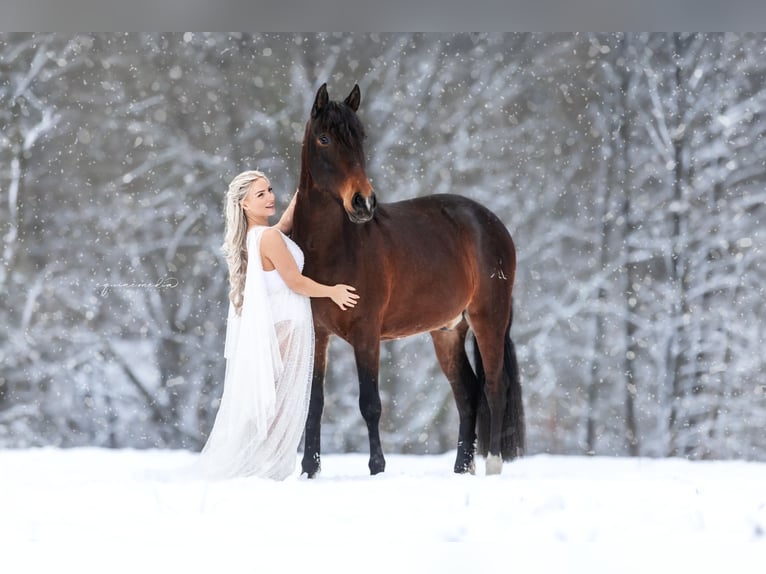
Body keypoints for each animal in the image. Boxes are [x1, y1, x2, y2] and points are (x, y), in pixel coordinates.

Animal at [292, 82, 524, 476]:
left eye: (361, 136)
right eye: (324, 139)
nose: (363, 203)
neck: (331, 247)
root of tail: (491, 222)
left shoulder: (367, 333)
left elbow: (370, 403)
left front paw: (377, 467)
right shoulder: (318, 333)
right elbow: (315, 403)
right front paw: (310, 470)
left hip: (488, 318)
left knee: (495, 387)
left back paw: (492, 465)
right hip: (447, 332)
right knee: (468, 393)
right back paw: (461, 469)